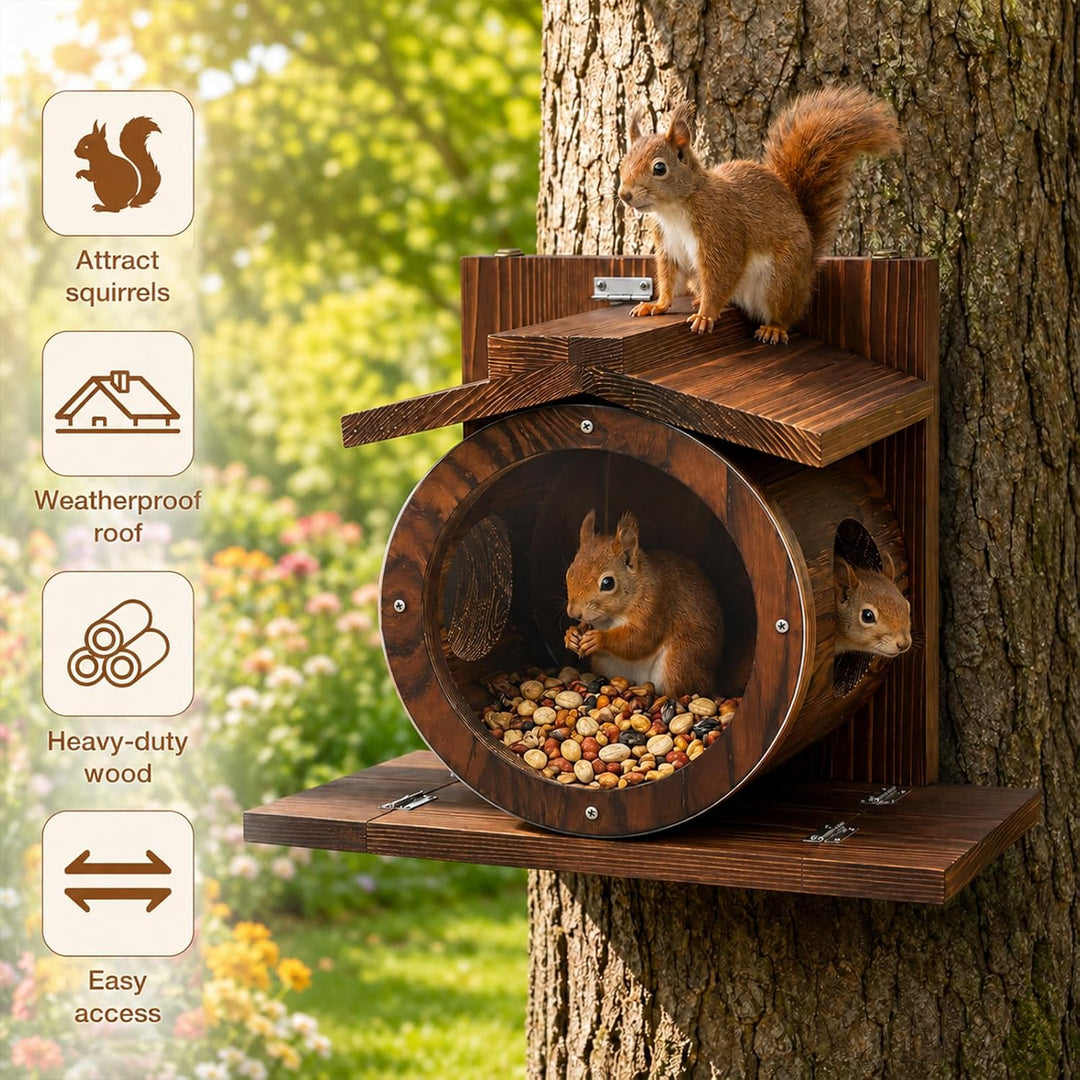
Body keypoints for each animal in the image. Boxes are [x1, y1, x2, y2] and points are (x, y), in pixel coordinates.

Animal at [563, 509, 723, 697]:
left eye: (608, 583)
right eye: (569, 572)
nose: (574, 612)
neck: (611, 617)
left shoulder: (655, 606)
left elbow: (639, 640)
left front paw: (598, 639)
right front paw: (572, 634)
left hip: (681, 661)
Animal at [618, 87, 901, 342]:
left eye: (659, 168)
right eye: (623, 162)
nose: (624, 195)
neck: (673, 211)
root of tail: (806, 273)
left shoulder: (720, 231)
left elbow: (721, 277)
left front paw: (705, 315)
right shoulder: (669, 247)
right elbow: (669, 281)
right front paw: (657, 305)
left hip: (781, 278)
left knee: (785, 314)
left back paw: (773, 328)